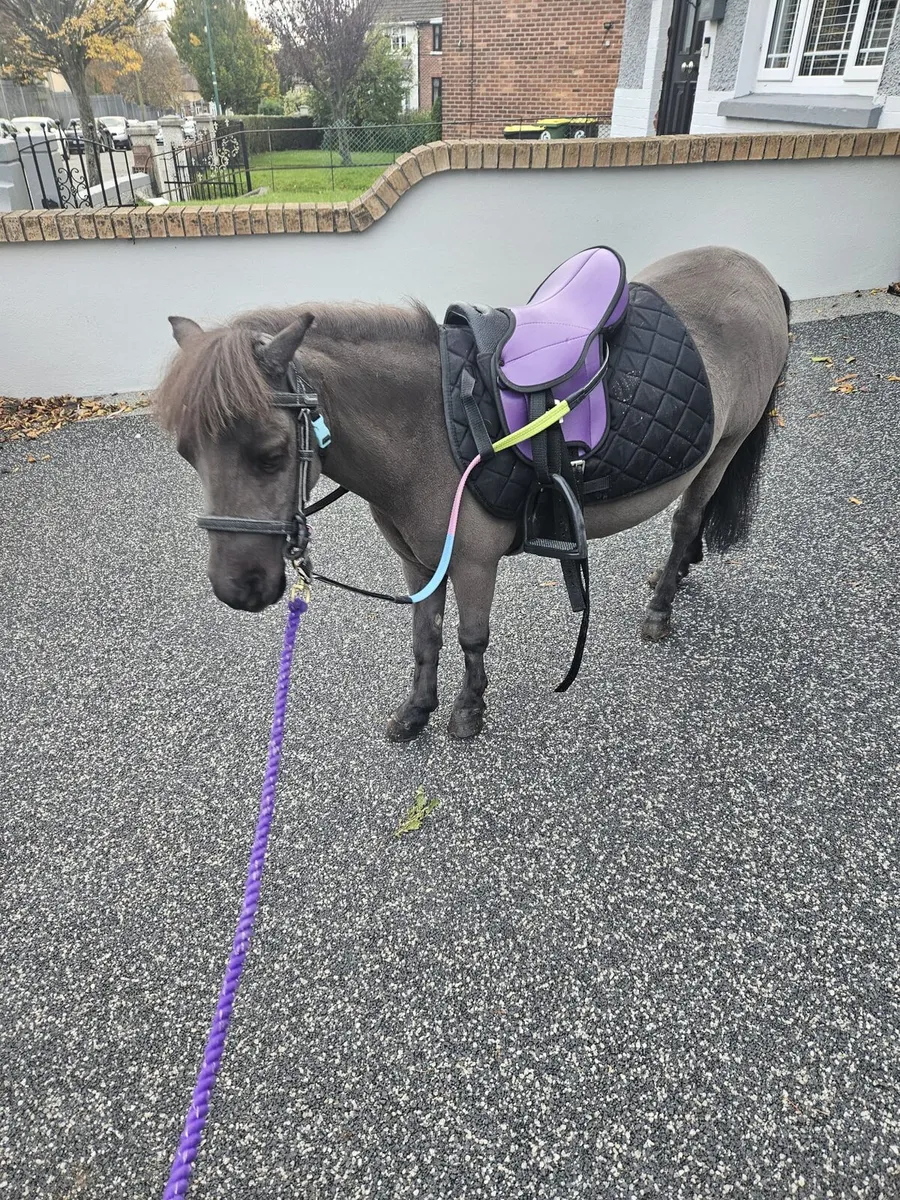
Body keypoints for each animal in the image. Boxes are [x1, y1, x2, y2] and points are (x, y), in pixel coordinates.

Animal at [153, 245, 790, 741]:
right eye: (187, 452)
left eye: (271, 453)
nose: (237, 588)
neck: (428, 425)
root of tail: (756, 271)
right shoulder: (420, 563)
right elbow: (425, 636)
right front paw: (416, 711)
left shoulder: (474, 561)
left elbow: (471, 636)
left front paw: (468, 711)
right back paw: (672, 576)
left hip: (724, 447)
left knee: (688, 519)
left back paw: (661, 606)